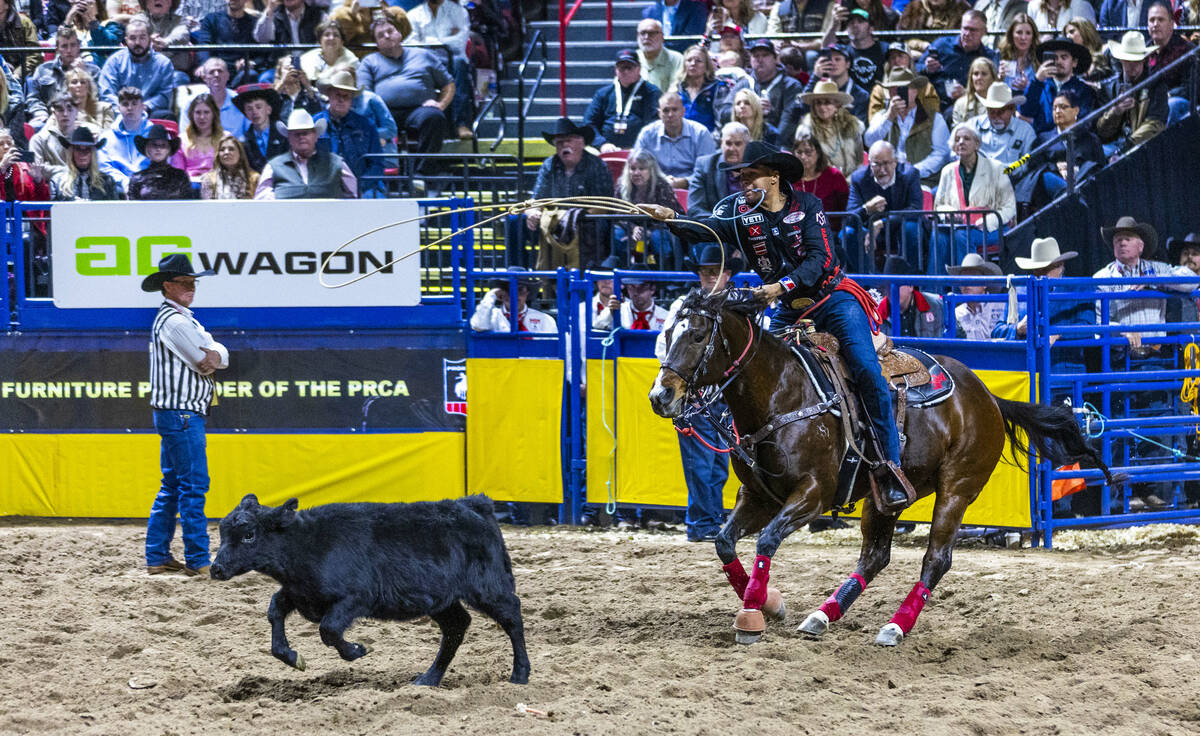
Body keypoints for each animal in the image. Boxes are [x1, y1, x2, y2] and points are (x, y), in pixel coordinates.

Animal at [209, 494, 530, 686]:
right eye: (223, 532)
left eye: (249, 535)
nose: (216, 569)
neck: (307, 543)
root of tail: (473, 504)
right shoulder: (299, 593)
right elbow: (275, 612)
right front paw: (292, 657)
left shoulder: (356, 598)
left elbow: (329, 629)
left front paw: (357, 650)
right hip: (442, 600)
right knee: (456, 627)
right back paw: (428, 679)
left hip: (487, 587)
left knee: (512, 617)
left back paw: (520, 674)